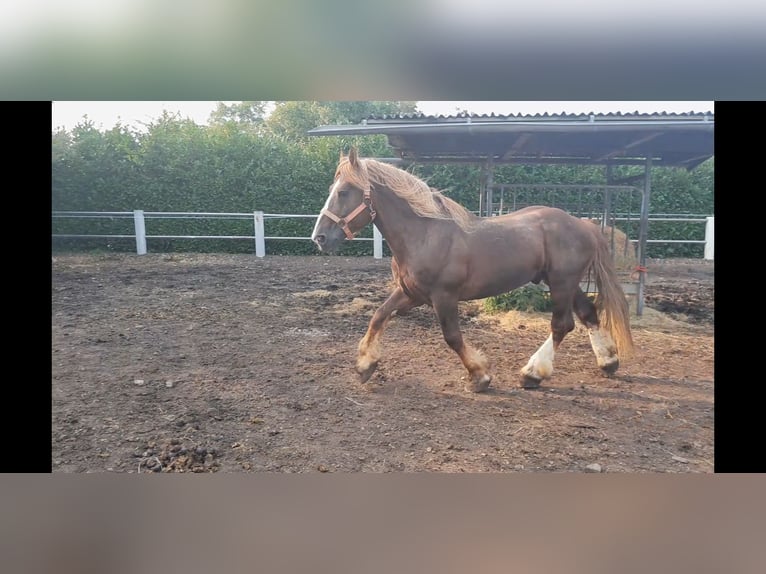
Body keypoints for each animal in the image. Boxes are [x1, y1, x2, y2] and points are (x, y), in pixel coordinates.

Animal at [312, 148, 636, 394]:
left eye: (344, 192)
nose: (319, 238)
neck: (425, 234)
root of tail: (584, 224)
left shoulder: (443, 296)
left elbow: (452, 337)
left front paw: (480, 376)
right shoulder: (411, 293)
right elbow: (378, 316)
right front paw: (365, 365)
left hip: (561, 282)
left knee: (562, 325)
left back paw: (532, 373)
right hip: (564, 282)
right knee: (587, 313)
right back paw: (608, 362)